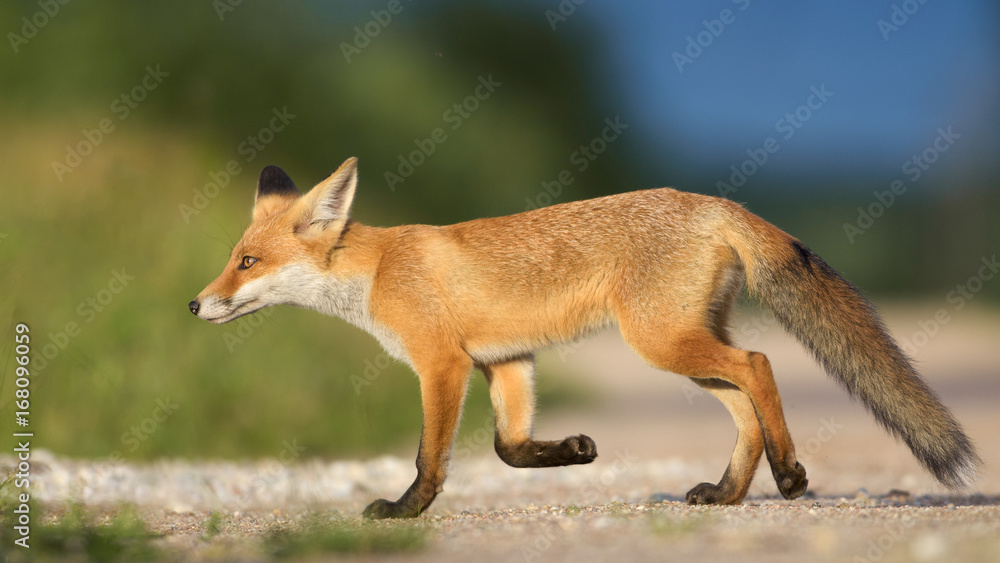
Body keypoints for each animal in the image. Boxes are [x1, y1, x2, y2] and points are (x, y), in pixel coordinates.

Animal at [189, 157, 979, 519]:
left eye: (247, 262)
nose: (195, 303)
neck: (380, 270)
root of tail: (713, 201)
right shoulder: (506, 363)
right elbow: (509, 449)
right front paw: (574, 450)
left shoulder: (441, 364)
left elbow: (430, 456)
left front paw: (406, 510)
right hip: (685, 350)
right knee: (745, 404)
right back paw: (727, 493)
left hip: (661, 342)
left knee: (759, 364)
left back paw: (788, 475)